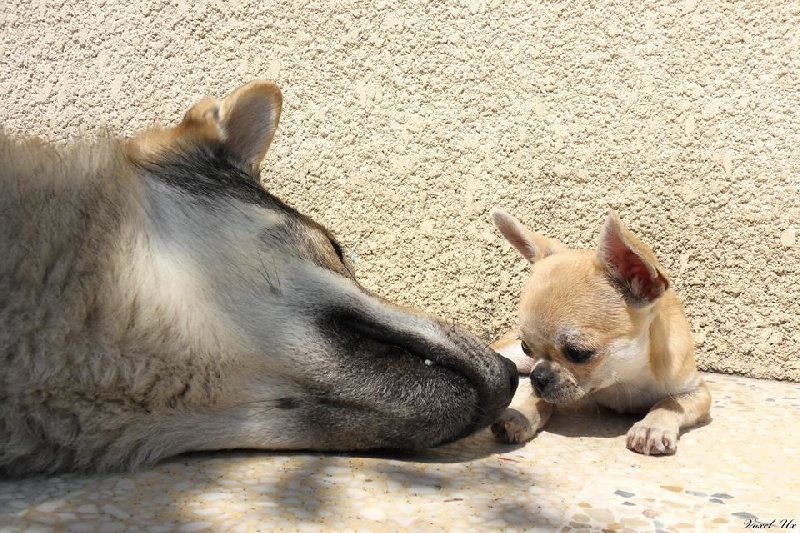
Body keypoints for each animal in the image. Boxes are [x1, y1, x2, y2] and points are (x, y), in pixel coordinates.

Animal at [490, 208, 708, 454]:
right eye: (526, 347)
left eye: (577, 353)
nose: (539, 377)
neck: (624, 378)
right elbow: (539, 399)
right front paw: (522, 416)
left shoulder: (697, 391)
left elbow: (669, 402)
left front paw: (652, 427)